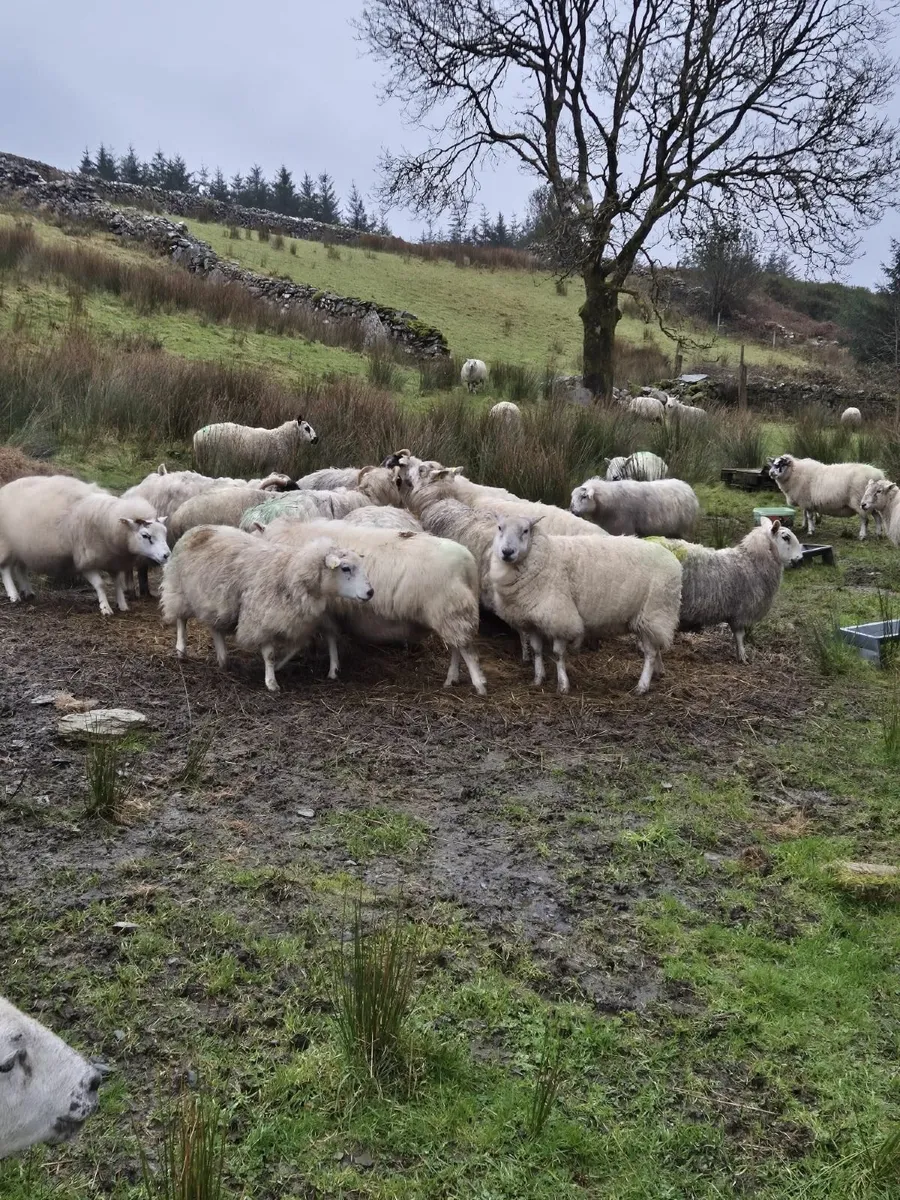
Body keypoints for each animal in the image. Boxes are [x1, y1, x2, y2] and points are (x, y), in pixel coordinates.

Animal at [0, 475, 169, 615]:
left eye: (164, 532)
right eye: (145, 536)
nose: (166, 555)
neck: (107, 521)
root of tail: (4, 488)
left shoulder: (113, 561)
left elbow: (118, 584)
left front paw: (122, 605)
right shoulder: (86, 561)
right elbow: (100, 584)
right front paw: (105, 608)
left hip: (22, 547)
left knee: (20, 568)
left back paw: (28, 592)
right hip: (6, 544)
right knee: (6, 569)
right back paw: (14, 595)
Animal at [159, 525, 373, 692]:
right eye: (345, 568)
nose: (370, 592)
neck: (290, 573)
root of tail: (196, 529)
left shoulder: (298, 619)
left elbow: (300, 644)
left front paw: (282, 666)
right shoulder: (262, 620)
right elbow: (269, 654)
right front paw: (271, 682)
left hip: (214, 601)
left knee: (215, 627)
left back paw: (223, 659)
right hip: (179, 589)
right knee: (181, 619)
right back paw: (181, 649)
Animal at [261, 517, 487, 694]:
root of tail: (468, 563)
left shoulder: (324, 609)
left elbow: (323, 637)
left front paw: (329, 669)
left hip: (451, 610)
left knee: (466, 649)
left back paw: (478, 683)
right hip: (450, 613)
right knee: (457, 647)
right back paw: (451, 678)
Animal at [489, 515, 682, 694]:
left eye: (525, 530)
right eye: (499, 527)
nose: (507, 551)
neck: (546, 555)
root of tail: (674, 560)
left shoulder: (560, 617)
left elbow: (558, 654)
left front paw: (563, 686)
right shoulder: (532, 620)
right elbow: (537, 651)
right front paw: (538, 679)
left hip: (655, 611)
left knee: (650, 653)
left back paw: (642, 686)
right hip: (645, 618)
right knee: (656, 647)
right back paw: (658, 672)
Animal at [658, 517, 803, 662]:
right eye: (786, 537)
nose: (800, 560)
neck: (752, 562)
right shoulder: (741, 612)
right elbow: (739, 636)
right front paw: (742, 656)